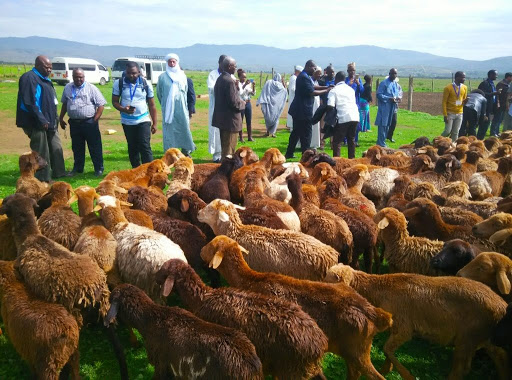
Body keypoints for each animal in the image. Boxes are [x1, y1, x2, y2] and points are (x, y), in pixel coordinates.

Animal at [156, 258, 328, 380]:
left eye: (164, 272)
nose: (156, 280)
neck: (202, 297)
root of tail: (319, 342)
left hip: (291, 370)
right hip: (305, 368)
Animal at [202, 236, 390, 378]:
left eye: (211, 246)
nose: (200, 252)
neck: (250, 279)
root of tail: (375, 313)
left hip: (358, 352)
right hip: (353, 351)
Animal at [326, 262, 510, 380]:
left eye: (330, 280)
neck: (380, 289)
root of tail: (502, 305)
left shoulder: (404, 327)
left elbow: (386, 348)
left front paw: (407, 375)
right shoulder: (397, 328)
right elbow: (388, 350)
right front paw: (386, 369)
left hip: (467, 338)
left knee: (461, 369)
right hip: (485, 339)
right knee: (500, 356)